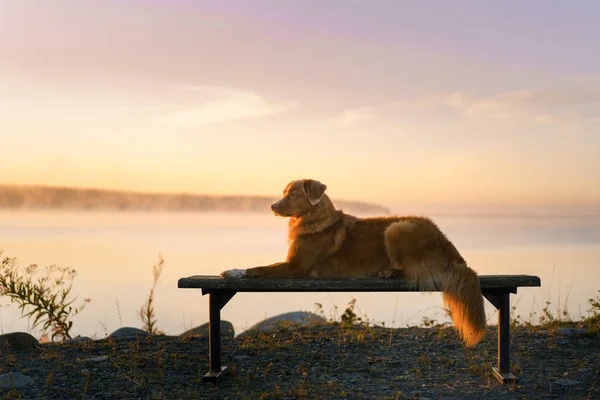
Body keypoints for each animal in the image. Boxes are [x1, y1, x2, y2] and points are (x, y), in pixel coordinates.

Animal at [220, 179, 488, 346]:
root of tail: (445, 239)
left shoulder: (296, 267)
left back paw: (389, 272)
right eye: (284, 192)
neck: (312, 219)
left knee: (411, 272)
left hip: (396, 227)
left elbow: (259, 268)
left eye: (292, 194)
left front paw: (234, 271)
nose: (271, 205)